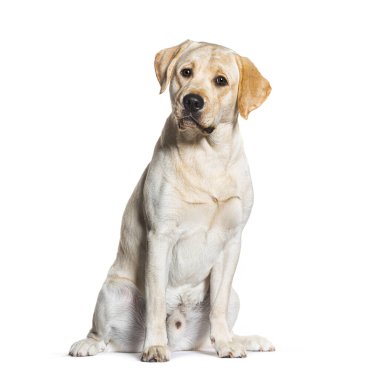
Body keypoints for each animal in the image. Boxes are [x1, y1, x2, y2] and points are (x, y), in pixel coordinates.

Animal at [68, 40, 274, 360]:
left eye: (221, 81)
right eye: (185, 72)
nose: (192, 101)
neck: (206, 156)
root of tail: (179, 340)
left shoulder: (231, 241)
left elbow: (218, 306)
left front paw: (227, 344)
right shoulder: (160, 236)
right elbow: (154, 303)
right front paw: (154, 346)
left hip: (235, 298)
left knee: (211, 329)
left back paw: (245, 339)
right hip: (113, 291)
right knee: (105, 336)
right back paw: (89, 344)